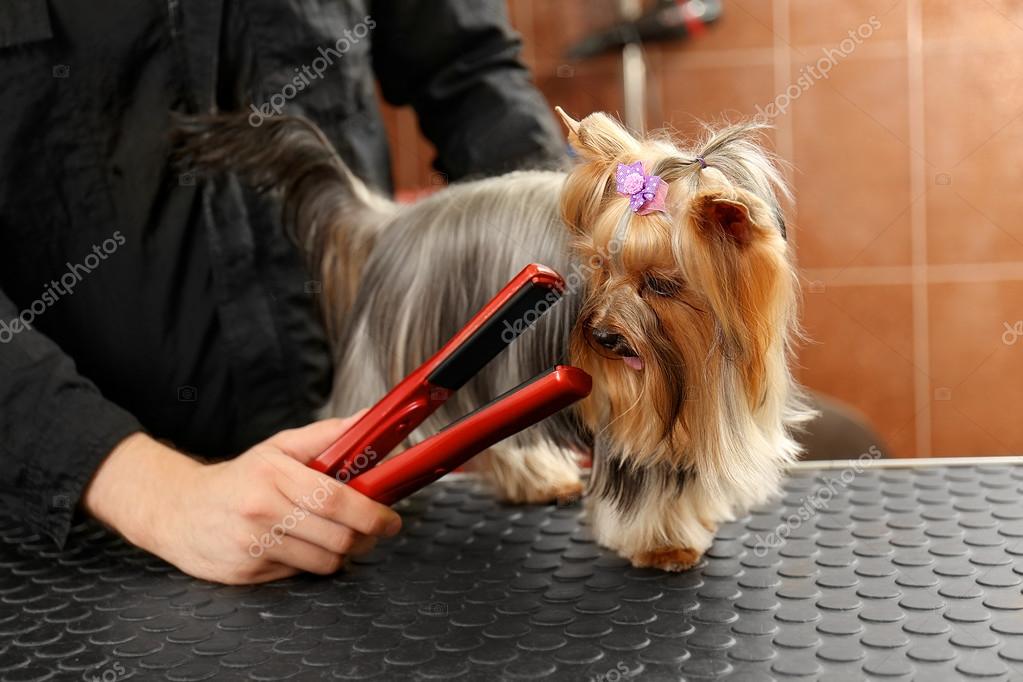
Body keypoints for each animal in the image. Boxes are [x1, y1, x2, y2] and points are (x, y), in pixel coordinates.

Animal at [180, 107, 810, 572]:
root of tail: (388, 223)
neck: (699, 358)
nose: (603, 337)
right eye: (600, 267)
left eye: (661, 283)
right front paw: (661, 544)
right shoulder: (637, 413)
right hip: (401, 363)